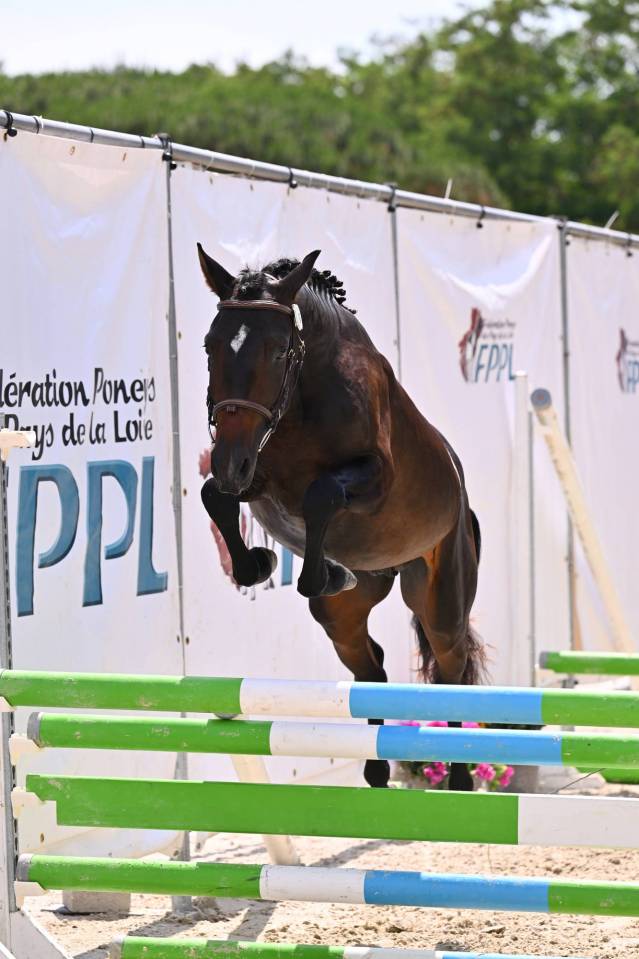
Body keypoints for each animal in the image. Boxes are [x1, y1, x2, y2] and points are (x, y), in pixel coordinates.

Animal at [198, 245, 484, 790]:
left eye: (278, 351)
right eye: (209, 346)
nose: (227, 461)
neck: (302, 399)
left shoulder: (374, 476)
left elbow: (322, 494)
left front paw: (327, 571)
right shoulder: (256, 472)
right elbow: (214, 497)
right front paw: (260, 564)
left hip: (441, 596)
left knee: (452, 669)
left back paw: (459, 778)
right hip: (344, 617)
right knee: (371, 669)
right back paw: (376, 769)